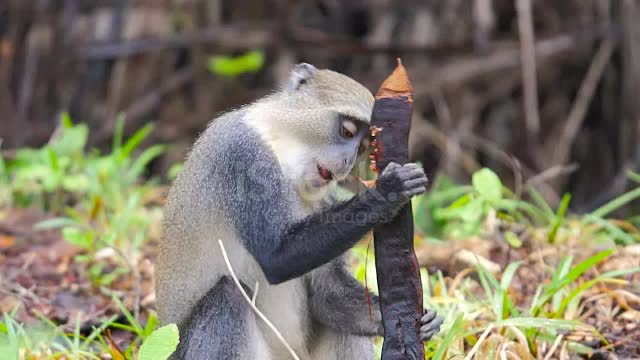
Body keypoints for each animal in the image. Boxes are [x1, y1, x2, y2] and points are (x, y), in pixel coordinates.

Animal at [156, 63, 444, 358]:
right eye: (347, 132)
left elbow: (327, 295)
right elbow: (276, 257)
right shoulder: (242, 156)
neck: (279, 143)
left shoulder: (324, 197)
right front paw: (387, 192)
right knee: (227, 294)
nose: (347, 161)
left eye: (364, 146)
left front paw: (423, 321)